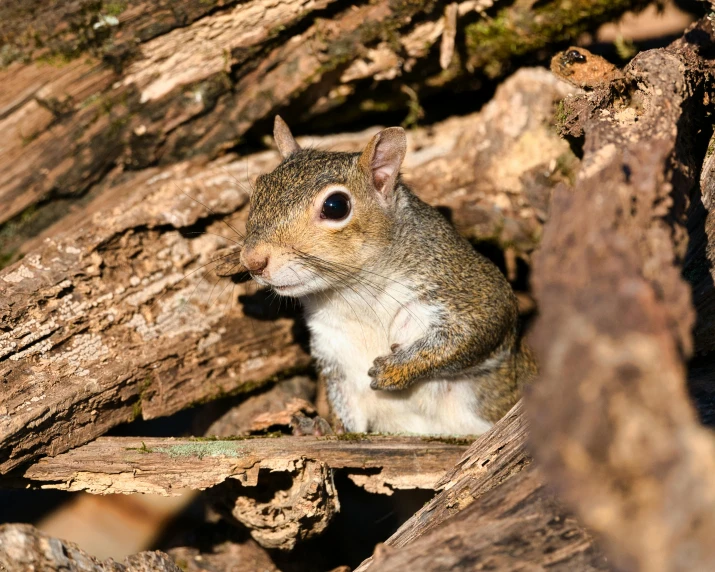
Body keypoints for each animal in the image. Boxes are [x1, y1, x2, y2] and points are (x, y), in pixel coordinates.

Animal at [241, 117, 536, 434]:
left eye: (335, 206)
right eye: (258, 188)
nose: (252, 260)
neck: (352, 296)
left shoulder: (469, 287)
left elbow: (476, 329)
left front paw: (396, 369)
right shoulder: (337, 362)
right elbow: (349, 418)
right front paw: (322, 428)